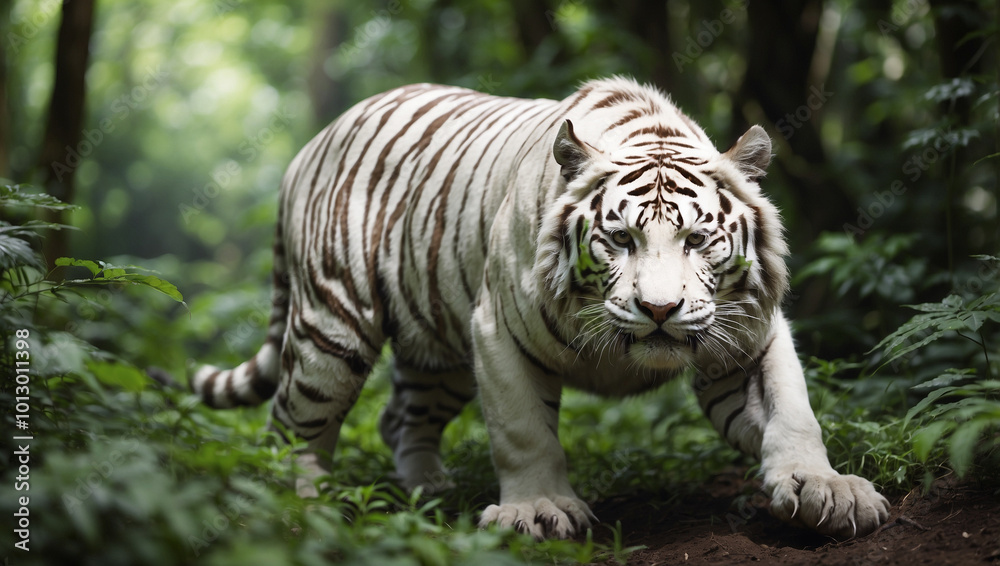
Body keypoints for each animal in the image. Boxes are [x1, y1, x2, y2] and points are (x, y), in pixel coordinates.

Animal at [190, 76, 890, 540]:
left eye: (696, 240)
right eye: (620, 239)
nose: (659, 309)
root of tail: (313, 143)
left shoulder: (750, 334)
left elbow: (793, 410)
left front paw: (825, 487)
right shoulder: (497, 330)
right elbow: (523, 431)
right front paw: (537, 511)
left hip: (439, 349)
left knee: (400, 417)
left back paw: (429, 489)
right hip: (333, 330)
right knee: (290, 426)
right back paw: (298, 506)